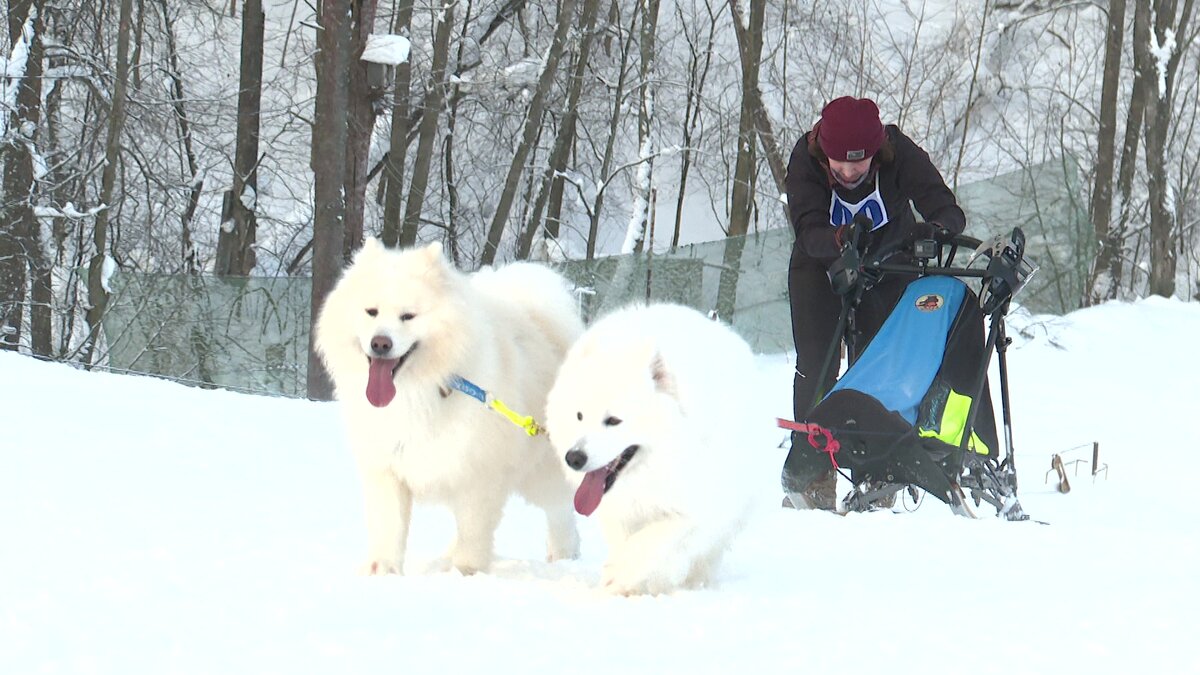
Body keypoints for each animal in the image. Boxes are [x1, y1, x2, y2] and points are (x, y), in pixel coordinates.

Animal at [315, 238, 583, 575]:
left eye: (408, 316)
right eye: (371, 312)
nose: (380, 343)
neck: (417, 390)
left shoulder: (477, 473)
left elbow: (474, 530)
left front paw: (466, 572)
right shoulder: (387, 465)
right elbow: (390, 526)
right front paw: (383, 570)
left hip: (541, 471)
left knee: (560, 510)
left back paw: (564, 554)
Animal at [544, 303, 772, 595]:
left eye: (613, 420)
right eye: (579, 416)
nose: (574, 458)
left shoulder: (694, 508)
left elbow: (653, 541)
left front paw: (621, 574)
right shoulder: (621, 510)